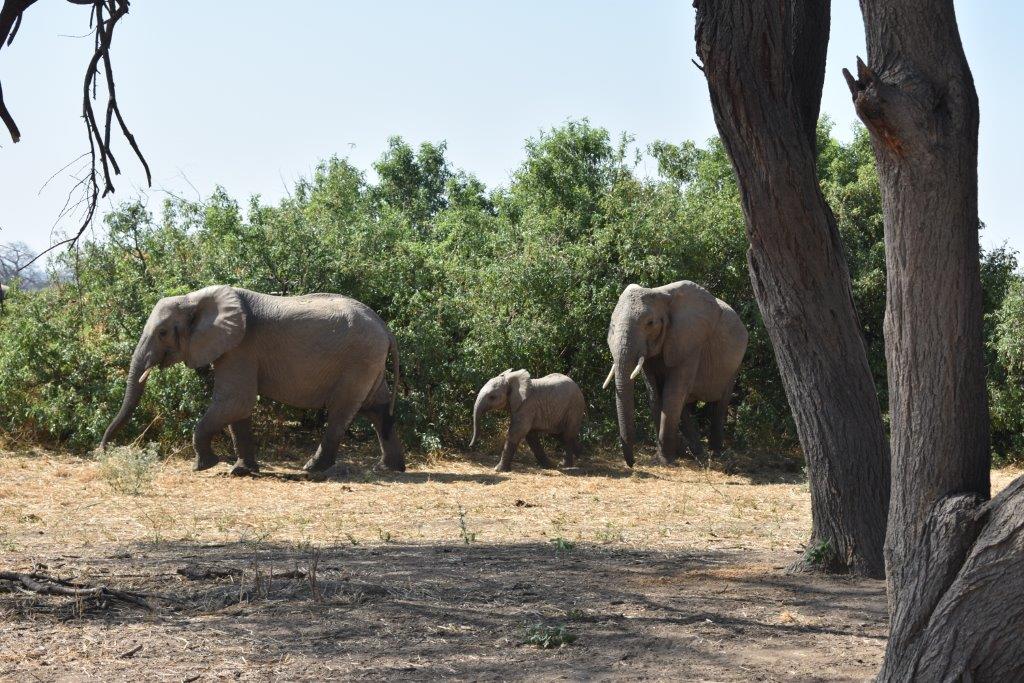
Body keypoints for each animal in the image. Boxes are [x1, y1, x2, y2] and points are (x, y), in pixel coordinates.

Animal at [100, 286, 403, 475]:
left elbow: (236, 401)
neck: (194, 299)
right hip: (370, 361)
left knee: (342, 410)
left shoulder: (241, 346)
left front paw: (205, 466)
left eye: (162, 333)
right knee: (377, 408)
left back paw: (312, 469)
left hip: (359, 359)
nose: (102, 452)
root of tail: (385, 327)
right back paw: (389, 469)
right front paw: (242, 471)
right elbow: (238, 409)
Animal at [602, 280, 749, 466]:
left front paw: (664, 461)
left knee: (720, 403)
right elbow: (655, 394)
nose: (632, 463)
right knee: (685, 404)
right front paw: (664, 457)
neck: (660, 294)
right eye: (612, 325)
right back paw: (696, 453)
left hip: (735, 363)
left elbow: (672, 393)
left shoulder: (691, 343)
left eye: (650, 323)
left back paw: (715, 453)